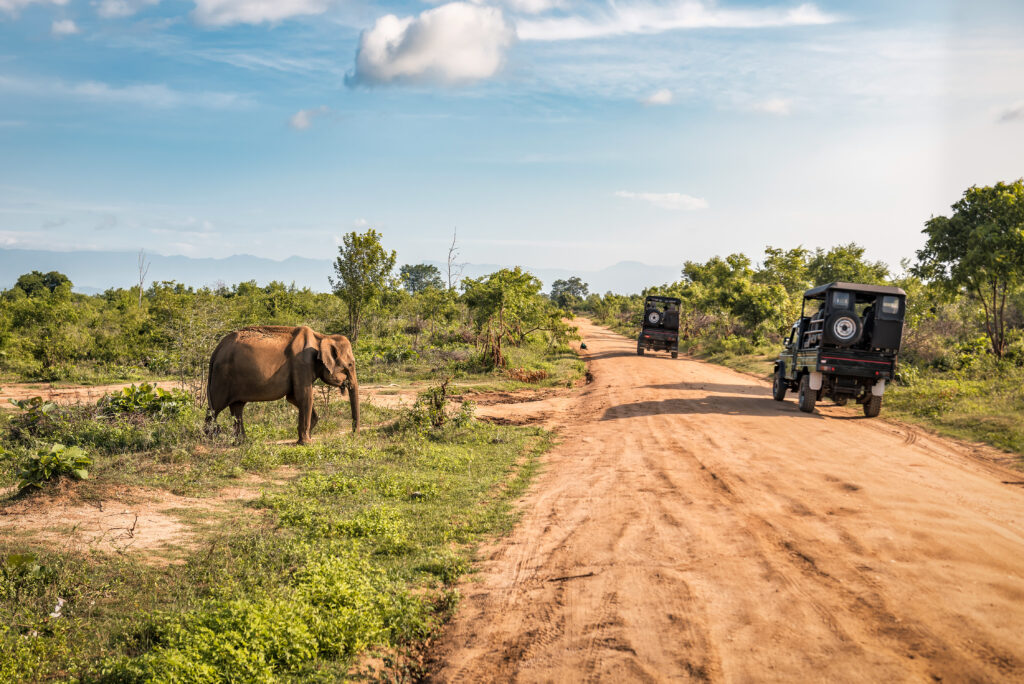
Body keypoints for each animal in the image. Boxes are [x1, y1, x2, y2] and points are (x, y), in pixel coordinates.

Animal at [202, 325, 356, 444]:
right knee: (216, 407)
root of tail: (217, 349)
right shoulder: (302, 364)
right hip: (222, 377)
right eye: (350, 364)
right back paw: (210, 439)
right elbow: (304, 396)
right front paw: (307, 443)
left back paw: (241, 442)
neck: (321, 337)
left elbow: (293, 398)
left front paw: (308, 432)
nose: (353, 434)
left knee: (237, 407)